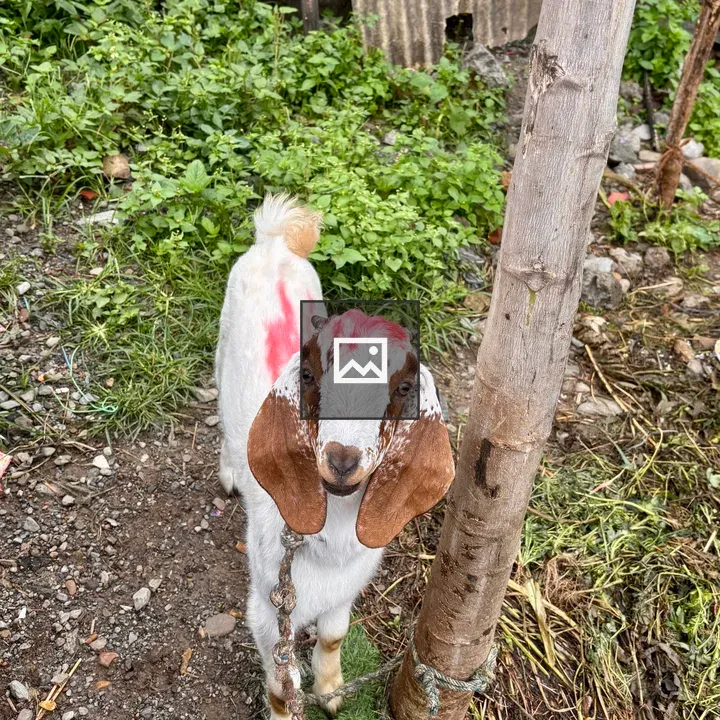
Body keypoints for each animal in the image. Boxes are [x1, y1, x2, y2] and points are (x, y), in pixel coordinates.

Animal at [215, 195, 454, 718]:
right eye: (308, 376)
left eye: (403, 388)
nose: (342, 460)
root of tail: (275, 242)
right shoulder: (267, 610)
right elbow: (280, 684)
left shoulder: (346, 593)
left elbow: (333, 636)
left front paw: (330, 690)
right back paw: (228, 472)